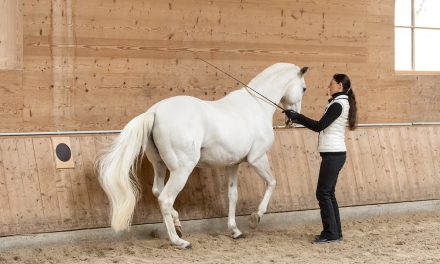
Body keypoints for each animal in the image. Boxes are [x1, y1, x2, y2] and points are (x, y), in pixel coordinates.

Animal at [97, 63, 308, 249]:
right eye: (304, 88)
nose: (293, 118)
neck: (256, 106)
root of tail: (154, 112)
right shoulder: (257, 158)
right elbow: (272, 183)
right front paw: (256, 217)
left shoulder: (233, 164)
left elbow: (232, 195)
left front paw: (234, 231)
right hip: (182, 170)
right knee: (165, 199)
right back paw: (180, 242)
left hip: (160, 165)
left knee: (157, 191)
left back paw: (178, 226)